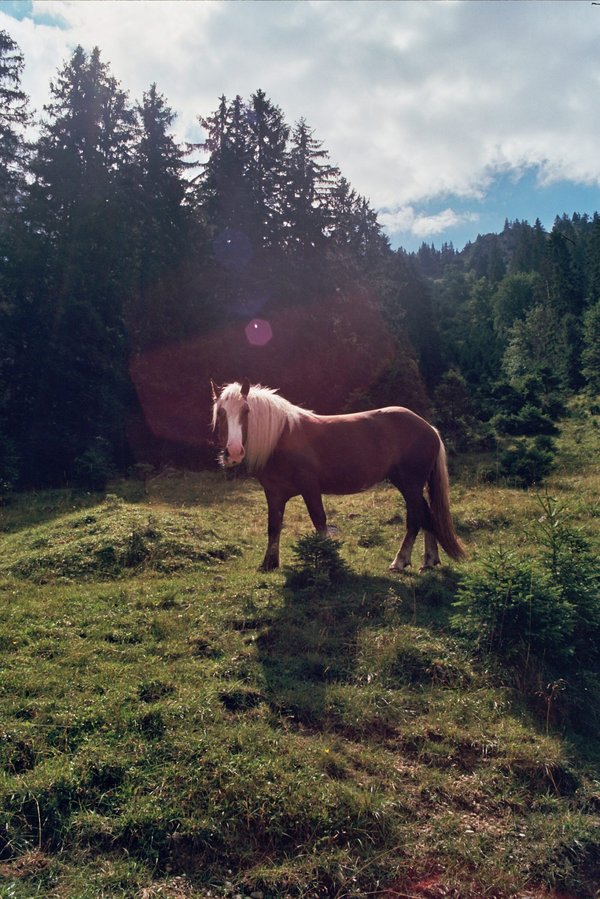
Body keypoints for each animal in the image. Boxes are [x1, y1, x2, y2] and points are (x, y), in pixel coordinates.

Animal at [211, 378, 465, 573]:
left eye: (246, 411)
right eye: (220, 413)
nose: (234, 452)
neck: (281, 437)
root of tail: (429, 428)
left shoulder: (310, 488)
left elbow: (319, 522)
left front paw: (327, 561)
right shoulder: (274, 493)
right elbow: (273, 527)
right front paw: (269, 564)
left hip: (410, 484)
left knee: (414, 518)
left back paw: (400, 561)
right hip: (408, 483)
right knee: (427, 515)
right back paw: (429, 560)